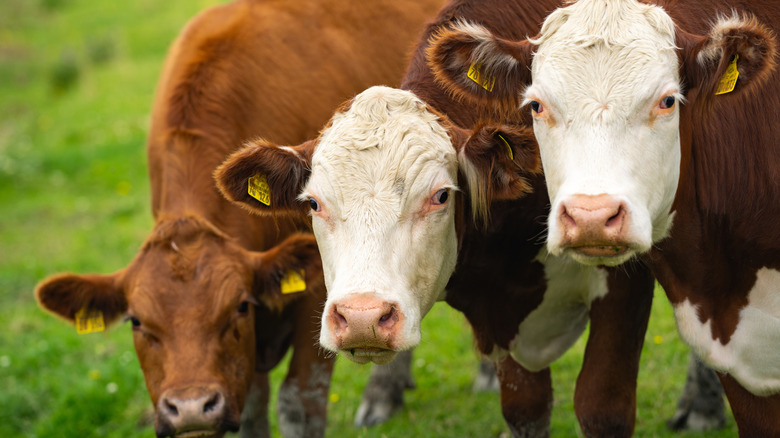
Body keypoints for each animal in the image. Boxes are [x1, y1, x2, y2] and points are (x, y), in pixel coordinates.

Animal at [34, 0, 446, 437]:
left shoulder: (321, 294)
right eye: (136, 322)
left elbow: (299, 400)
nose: (192, 408)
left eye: (238, 308)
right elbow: (251, 408)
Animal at [214, 1, 663, 435]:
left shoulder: (624, 286)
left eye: (441, 196)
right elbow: (525, 410)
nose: (361, 318)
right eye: (313, 204)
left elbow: (602, 408)